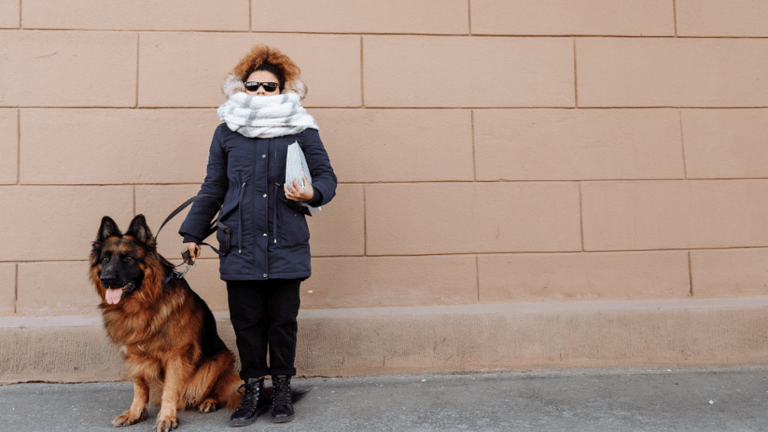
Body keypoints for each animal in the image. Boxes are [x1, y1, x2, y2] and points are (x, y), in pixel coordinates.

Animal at [90, 215, 242, 431]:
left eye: (128, 258)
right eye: (105, 259)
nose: (106, 279)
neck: (144, 303)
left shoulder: (176, 355)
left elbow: (170, 389)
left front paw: (167, 417)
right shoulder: (135, 355)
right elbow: (139, 387)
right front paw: (135, 413)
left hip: (220, 360)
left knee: (218, 390)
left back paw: (209, 401)